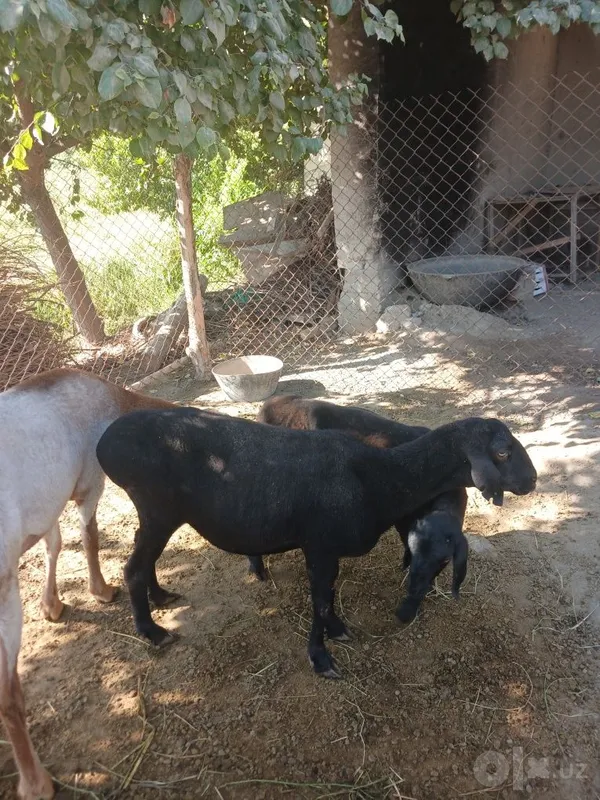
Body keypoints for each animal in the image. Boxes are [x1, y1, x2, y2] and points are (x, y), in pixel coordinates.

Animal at [0, 368, 173, 800]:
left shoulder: (50, 501)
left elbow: (55, 541)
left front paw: (52, 605)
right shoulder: (88, 480)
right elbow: (89, 533)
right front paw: (101, 590)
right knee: (8, 695)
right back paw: (36, 783)